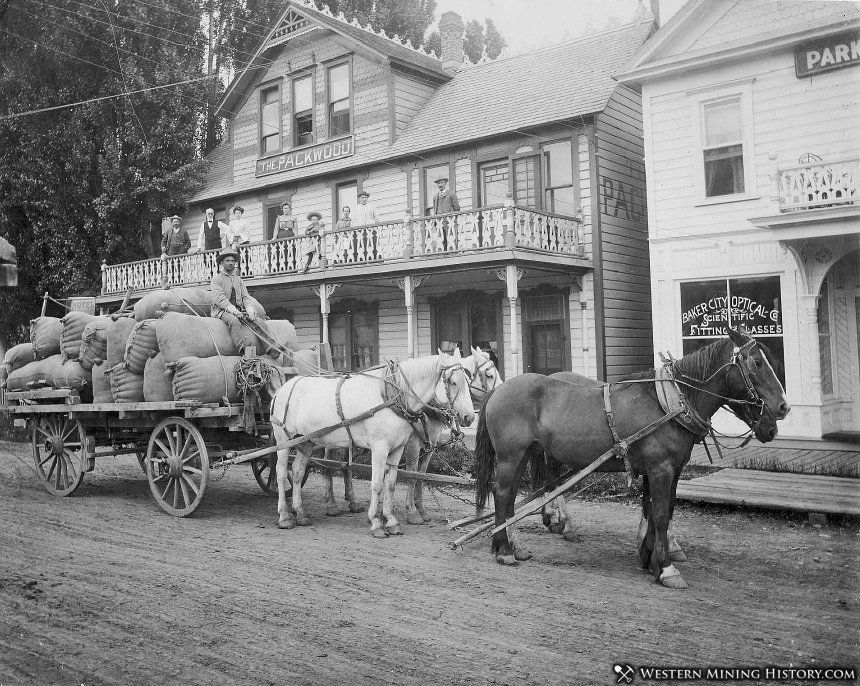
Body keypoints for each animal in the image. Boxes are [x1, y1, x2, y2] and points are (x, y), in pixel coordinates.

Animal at [268, 350, 474, 536]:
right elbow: (377, 484)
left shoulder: (397, 448)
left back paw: (300, 513)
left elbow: (390, 484)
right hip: (283, 439)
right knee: (281, 473)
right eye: (452, 382)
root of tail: (283, 388)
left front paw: (391, 521)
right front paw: (376, 522)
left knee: (297, 471)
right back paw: (285, 516)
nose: (470, 417)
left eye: (467, 380)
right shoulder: (380, 448)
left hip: (306, 441)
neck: (391, 397)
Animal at [474, 330, 788, 588]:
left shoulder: (667, 470)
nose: (783, 408)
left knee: (511, 497)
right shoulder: (660, 468)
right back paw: (504, 550)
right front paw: (666, 568)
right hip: (510, 455)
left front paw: (649, 558)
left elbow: (657, 510)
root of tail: (498, 389)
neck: (668, 403)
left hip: (525, 454)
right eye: (756, 363)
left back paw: (514, 546)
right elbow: (660, 514)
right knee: (502, 494)